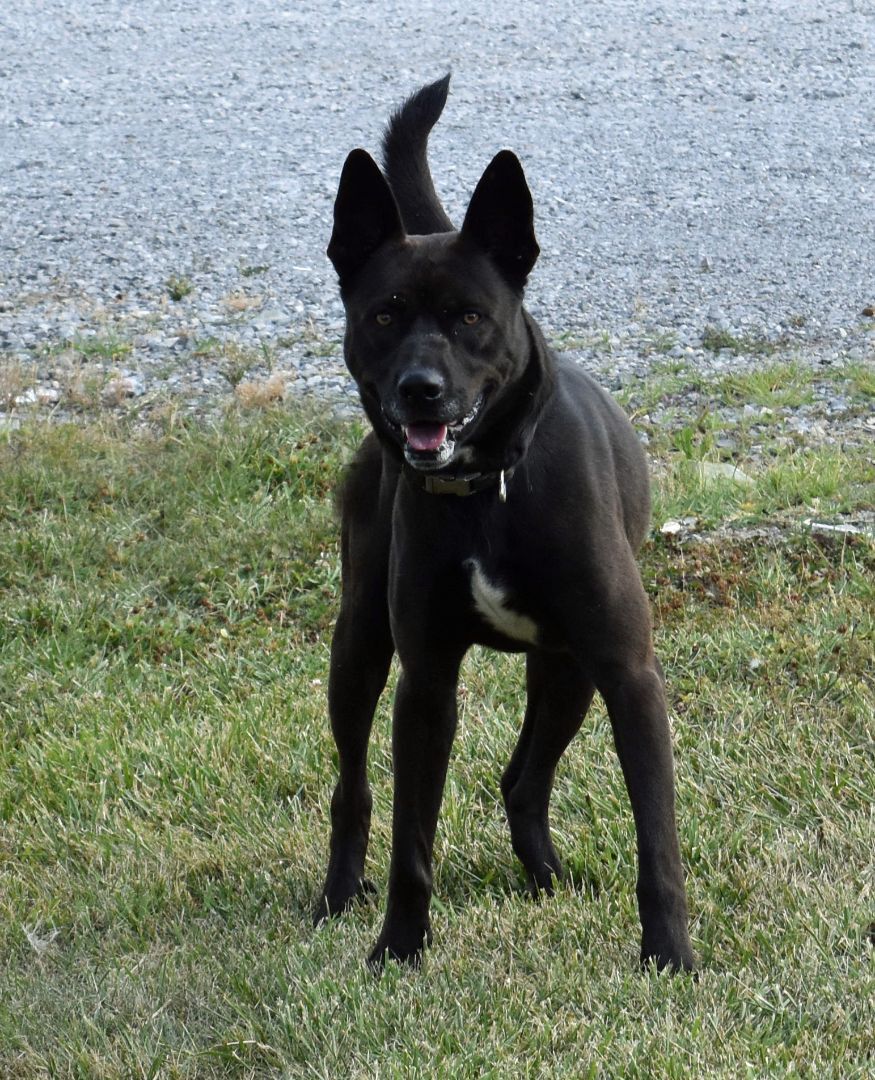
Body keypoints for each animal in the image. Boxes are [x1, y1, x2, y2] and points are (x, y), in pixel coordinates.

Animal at [313, 76, 687, 972]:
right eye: (384, 316)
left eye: (471, 316)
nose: (420, 390)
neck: (490, 489)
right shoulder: (425, 684)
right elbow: (412, 838)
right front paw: (398, 949)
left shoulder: (625, 672)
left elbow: (655, 838)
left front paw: (670, 957)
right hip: (359, 642)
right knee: (354, 784)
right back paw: (338, 895)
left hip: (567, 671)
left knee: (522, 780)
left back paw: (547, 877)